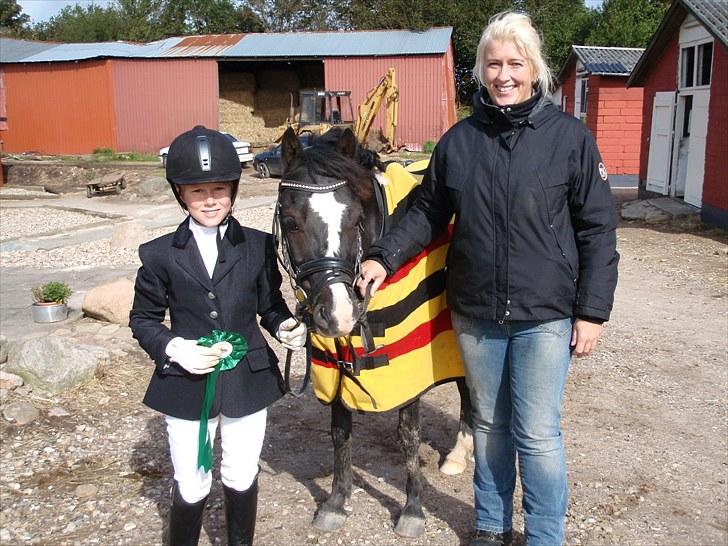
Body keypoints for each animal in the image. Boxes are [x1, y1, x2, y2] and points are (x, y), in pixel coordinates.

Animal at [272, 126, 472, 536]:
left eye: (354, 220)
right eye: (292, 221)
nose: (339, 314)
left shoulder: (409, 364)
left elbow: (408, 437)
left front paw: (412, 510)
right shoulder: (335, 360)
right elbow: (340, 431)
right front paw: (337, 500)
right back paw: (460, 454)